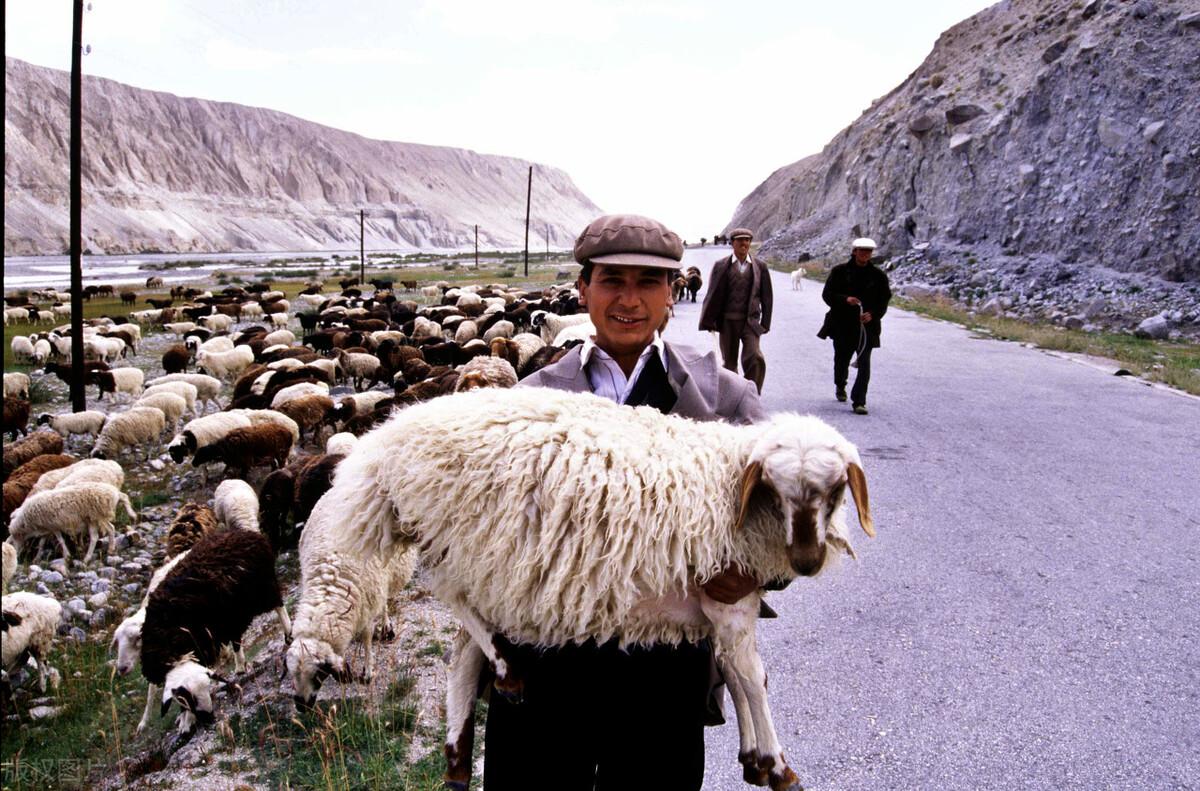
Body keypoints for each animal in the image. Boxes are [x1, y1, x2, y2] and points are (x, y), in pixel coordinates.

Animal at [9, 480, 138, 566]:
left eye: (14, 539)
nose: (16, 555)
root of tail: (113, 492)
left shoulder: (53, 525)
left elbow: (60, 539)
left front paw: (67, 556)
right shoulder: (48, 528)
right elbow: (41, 543)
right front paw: (37, 558)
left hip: (95, 517)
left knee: (97, 536)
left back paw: (87, 558)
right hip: (96, 518)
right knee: (111, 527)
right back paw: (111, 548)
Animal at [139, 525, 288, 734]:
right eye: (188, 698)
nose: (209, 718)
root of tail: (245, 533)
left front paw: (186, 722)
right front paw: (183, 720)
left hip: (263, 587)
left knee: (279, 607)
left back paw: (288, 634)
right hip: (232, 612)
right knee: (236, 638)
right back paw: (240, 666)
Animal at [288, 492, 420, 710]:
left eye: (318, 675)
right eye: (292, 674)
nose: (301, 706)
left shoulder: (366, 602)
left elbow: (367, 638)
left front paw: (368, 671)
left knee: (385, 601)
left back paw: (386, 628)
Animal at [333, 386, 878, 787]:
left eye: (836, 490)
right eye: (775, 490)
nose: (806, 562)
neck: (730, 480)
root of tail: (384, 445)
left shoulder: (727, 610)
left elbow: (736, 674)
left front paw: (754, 758)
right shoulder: (729, 599)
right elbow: (752, 678)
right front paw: (777, 764)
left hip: (479, 562)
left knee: (462, 655)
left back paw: (459, 755)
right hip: (456, 543)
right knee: (457, 603)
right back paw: (509, 672)